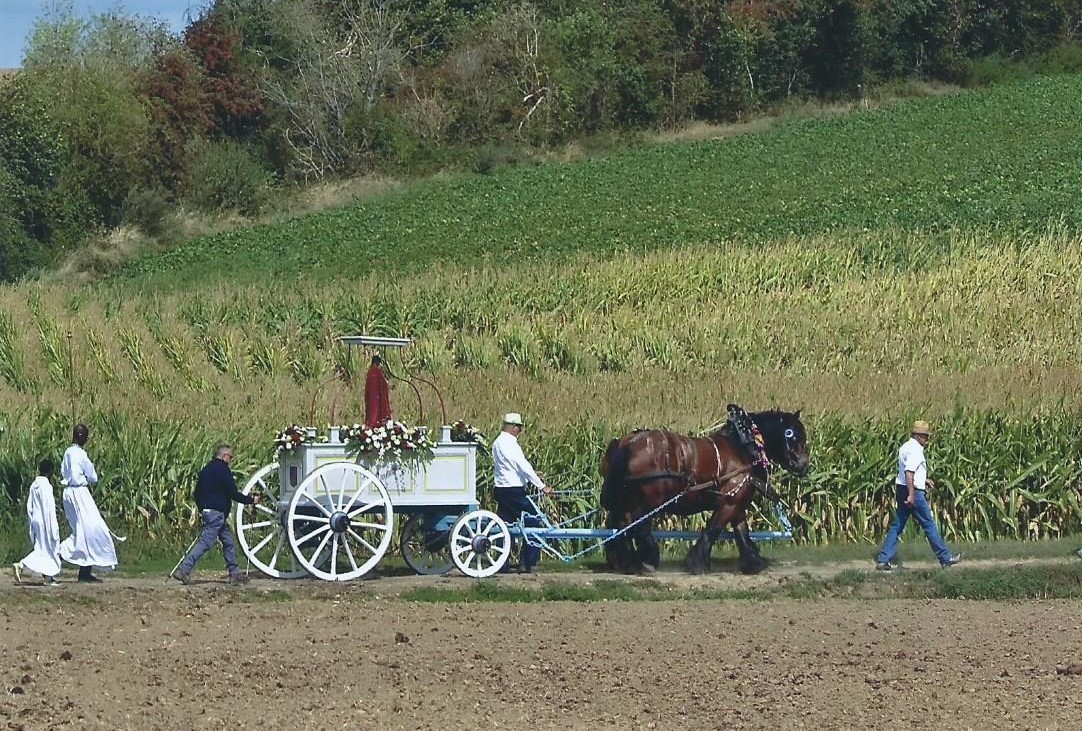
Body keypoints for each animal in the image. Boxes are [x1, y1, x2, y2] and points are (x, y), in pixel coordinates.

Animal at [605, 408, 809, 575]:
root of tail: (626, 443)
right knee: (637, 525)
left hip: (626, 500)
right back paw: (646, 559)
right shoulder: (729, 502)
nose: (804, 465)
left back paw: (625, 562)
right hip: (650, 500)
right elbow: (713, 529)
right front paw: (696, 563)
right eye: (793, 435)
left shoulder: (737, 500)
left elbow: (742, 532)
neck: (744, 447)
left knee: (620, 524)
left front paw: (754, 562)